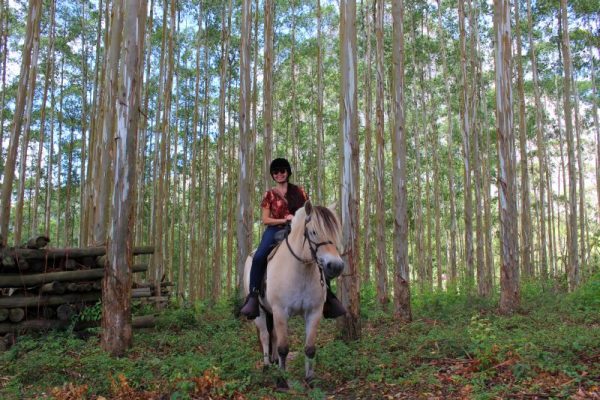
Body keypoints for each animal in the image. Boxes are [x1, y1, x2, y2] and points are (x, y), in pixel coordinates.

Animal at [243, 200, 344, 388]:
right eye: (313, 231)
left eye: (336, 232)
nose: (336, 266)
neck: (300, 270)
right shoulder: (280, 311)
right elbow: (283, 347)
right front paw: (282, 381)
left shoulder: (314, 312)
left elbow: (310, 348)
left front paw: (310, 379)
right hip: (261, 312)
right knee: (265, 336)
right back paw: (267, 367)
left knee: (273, 335)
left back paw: (275, 362)